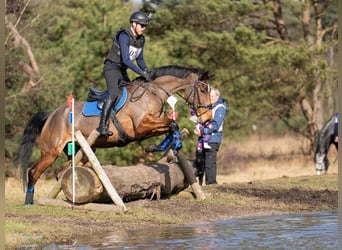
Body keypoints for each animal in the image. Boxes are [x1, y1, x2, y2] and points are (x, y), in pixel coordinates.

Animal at [17, 65, 214, 204]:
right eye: (203, 90)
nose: (207, 119)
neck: (152, 93)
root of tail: (52, 114)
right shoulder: (141, 127)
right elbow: (172, 124)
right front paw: (164, 145)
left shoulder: (149, 128)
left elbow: (172, 127)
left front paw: (157, 147)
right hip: (51, 151)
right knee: (34, 172)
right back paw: (28, 202)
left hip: (81, 150)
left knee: (62, 173)